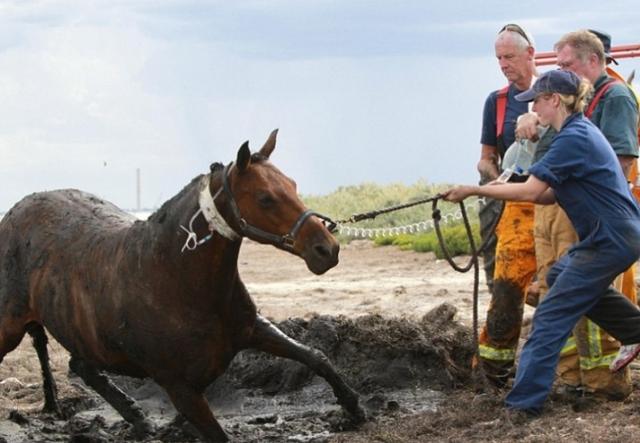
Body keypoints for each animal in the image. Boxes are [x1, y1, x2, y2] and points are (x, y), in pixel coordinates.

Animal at [0, 130, 362, 442]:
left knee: (81, 366)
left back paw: (138, 419)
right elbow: (217, 435)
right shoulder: (180, 387)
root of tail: (12, 213)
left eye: (293, 185)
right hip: (11, 327)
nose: (327, 249)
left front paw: (354, 408)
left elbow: (316, 357)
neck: (174, 279)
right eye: (265, 198)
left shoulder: (251, 329)